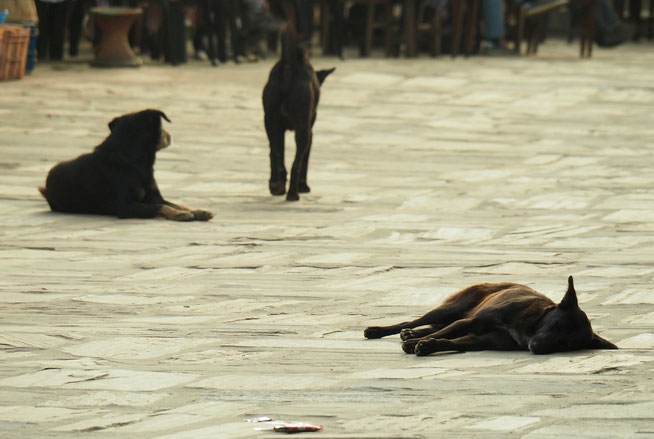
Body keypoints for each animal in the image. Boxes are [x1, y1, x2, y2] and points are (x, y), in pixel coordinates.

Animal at [39, 108, 213, 222]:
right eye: (162, 127)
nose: (169, 136)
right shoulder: (126, 206)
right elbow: (159, 207)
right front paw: (179, 214)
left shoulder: (155, 197)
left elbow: (178, 204)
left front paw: (198, 211)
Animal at [262, 23, 336, 201]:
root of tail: (289, 68)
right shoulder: (310, 132)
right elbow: (304, 160)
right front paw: (303, 186)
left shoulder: (279, 129)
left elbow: (279, 153)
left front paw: (279, 185)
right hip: (303, 130)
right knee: (296, 163)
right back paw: (293, 194)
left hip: (270, 122)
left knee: (274, 154)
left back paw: (276, 185)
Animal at [366, 278, 616, 358]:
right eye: (555, 325)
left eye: (566, 345)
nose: (536, 348)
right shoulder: (469, 323)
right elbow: (446, 333)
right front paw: (414, 344)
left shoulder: (483, 340)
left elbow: (450, 341)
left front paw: (427, 345)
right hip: (452, 309)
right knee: (416, 321)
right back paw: (381, 331)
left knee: (430, 327)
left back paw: (413, 334)